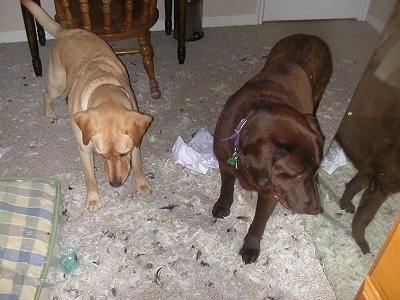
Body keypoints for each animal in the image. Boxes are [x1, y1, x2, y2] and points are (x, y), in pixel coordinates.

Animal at [21, 0, 153, 211]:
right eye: (101, 155)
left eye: (123, 154)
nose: (115, 184)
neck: (103, 85)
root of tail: (65, 31)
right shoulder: (84, 149)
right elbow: (90, 177)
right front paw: (93, 198)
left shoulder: (136, 141)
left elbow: (138, 164)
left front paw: (142, 185)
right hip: (56, 83)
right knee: (46, 94)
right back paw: (49, 111)